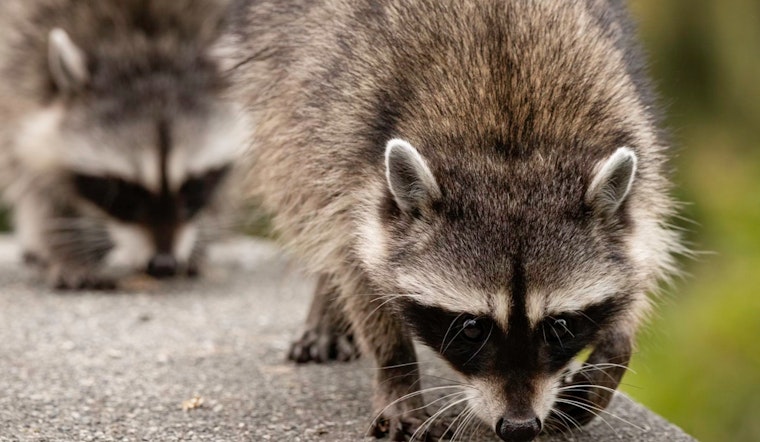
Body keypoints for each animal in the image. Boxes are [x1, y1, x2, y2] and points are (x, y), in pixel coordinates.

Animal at [0, 0, 248, 289]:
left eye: (194, 185)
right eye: (120, 190)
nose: (163, 264)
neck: (144, 43)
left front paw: (201, 238)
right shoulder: (21, 60)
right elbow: (35, 178)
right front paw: (64, 249)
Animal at [222, 0, 682, 440]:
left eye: (560, 326)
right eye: (472, 328)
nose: (518, 428)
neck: (510, 144)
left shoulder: (637, 150)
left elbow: (637, 269)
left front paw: (610, 356)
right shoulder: (347, 152)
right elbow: (356, 265)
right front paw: (397, 372)